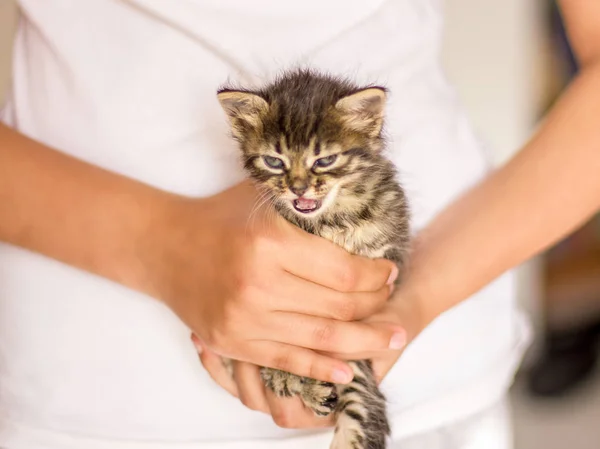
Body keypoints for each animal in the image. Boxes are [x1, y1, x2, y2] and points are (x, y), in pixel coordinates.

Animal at [218, 69, 410, 448]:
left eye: (324, 161)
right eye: (274, 161)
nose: (298, 188)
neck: (331, 221)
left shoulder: (388, 265)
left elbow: (354, 370)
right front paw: (285, 374)